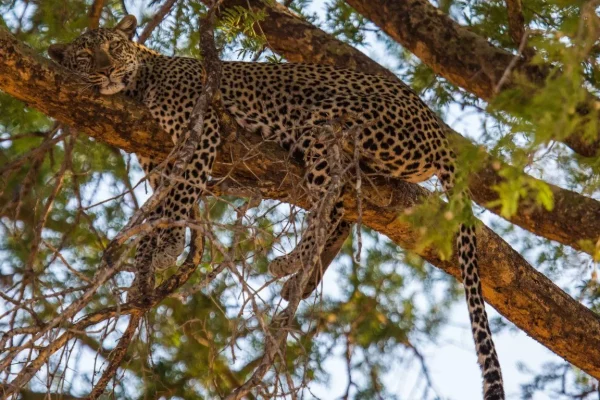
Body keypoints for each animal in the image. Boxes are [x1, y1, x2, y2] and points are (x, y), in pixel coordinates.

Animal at [49, 14, 504, 398]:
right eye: (86, 56)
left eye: (114, 47)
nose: (108, 69)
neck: (139, 83)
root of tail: (435, 123)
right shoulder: (156, 161)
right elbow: (160, 209)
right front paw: (145, 264)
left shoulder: (201, 130)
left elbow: (182, 196)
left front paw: (168, 247)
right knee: (342, 211)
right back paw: (303, 278)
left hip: (325, 125)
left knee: (329, 209)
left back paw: (292, 263)